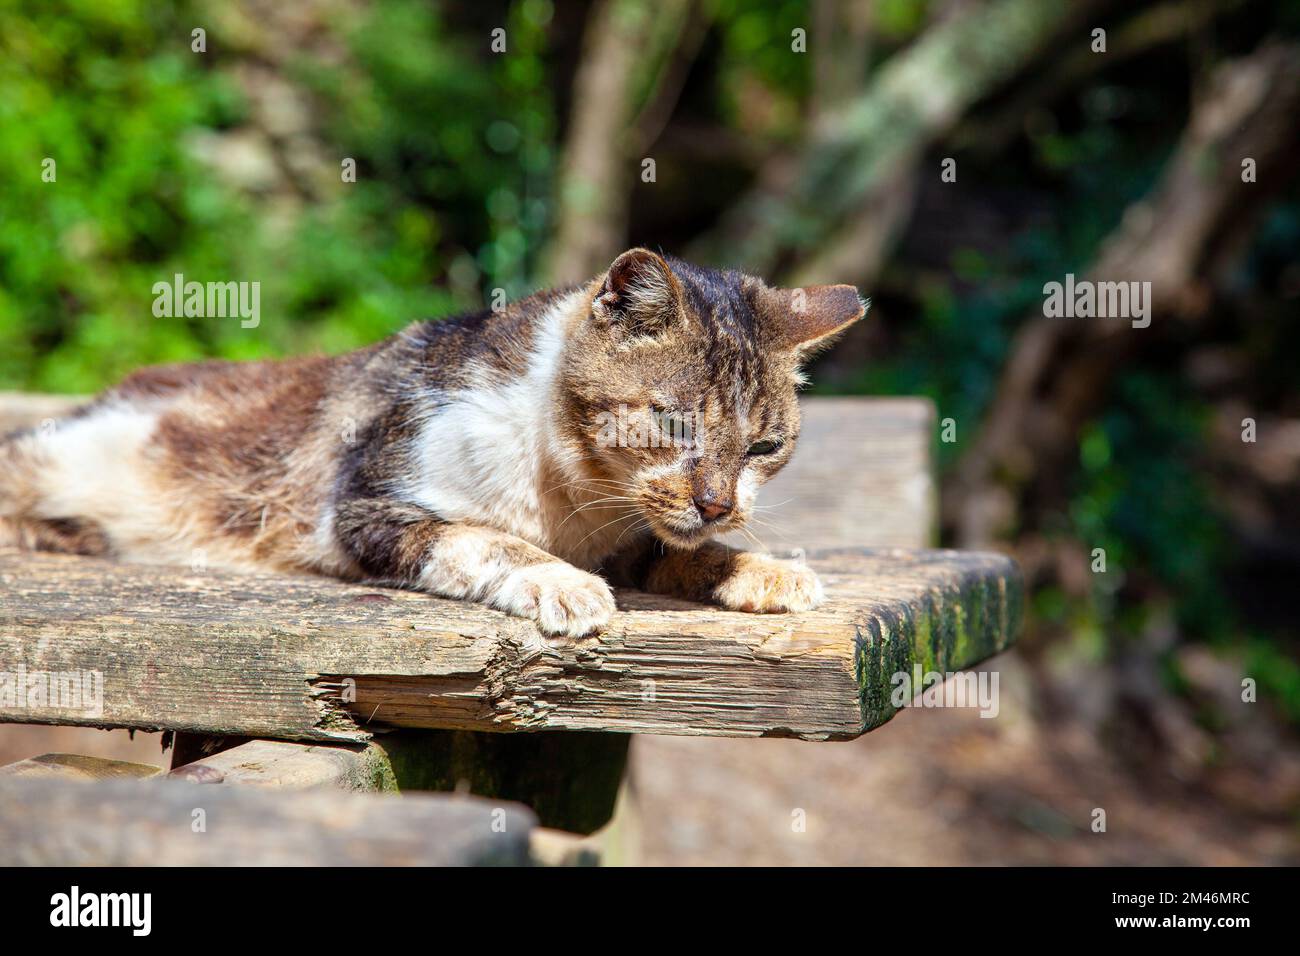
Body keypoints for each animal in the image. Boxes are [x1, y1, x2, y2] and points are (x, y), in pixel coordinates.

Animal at [5, 251, 868, 634]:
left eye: (764, 448)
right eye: (675, 421)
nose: (719, 504)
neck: (574, 497)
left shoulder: (635, 536)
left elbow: (676, 552)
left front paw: (760, 569)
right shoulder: (365, 506)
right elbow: (486, 539)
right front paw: (565, 584)